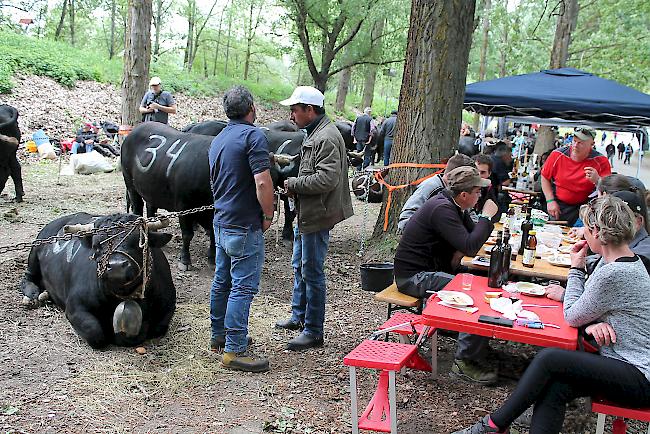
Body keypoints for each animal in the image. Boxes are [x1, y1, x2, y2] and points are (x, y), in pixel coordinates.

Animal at [21, 212, 176, 348]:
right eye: (97, 245)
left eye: (140, 242)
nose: (116, 266)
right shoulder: (75, 307)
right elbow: (95, 332)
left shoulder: (168, 307)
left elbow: (155, 328)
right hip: (34, 254)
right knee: (28, 277)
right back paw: (33, 296)